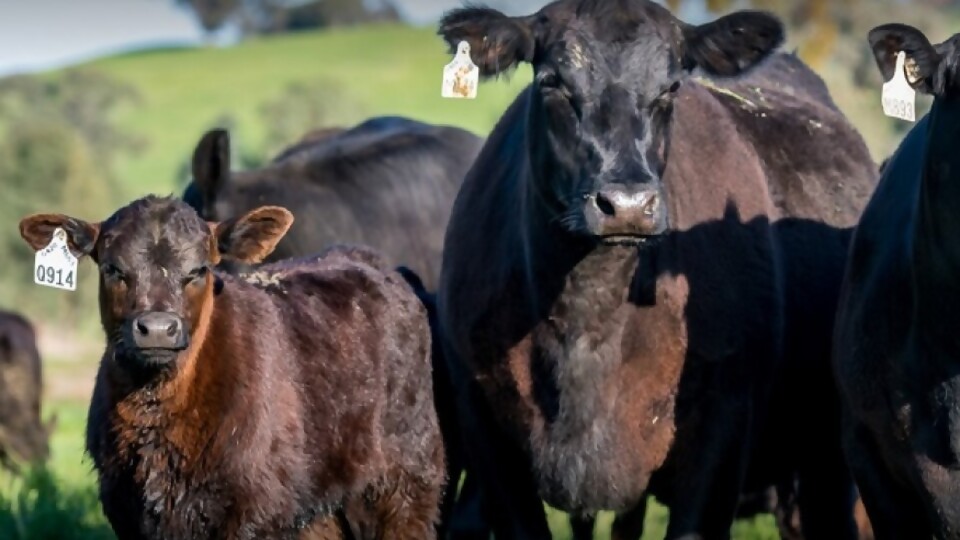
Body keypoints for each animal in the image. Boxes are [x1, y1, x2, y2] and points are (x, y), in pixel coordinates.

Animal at [17, 195, 446, 540]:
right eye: (112, 269)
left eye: (199, 270)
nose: (156, 328)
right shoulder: (125, 509)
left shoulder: (253, 512)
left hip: (405, 486)